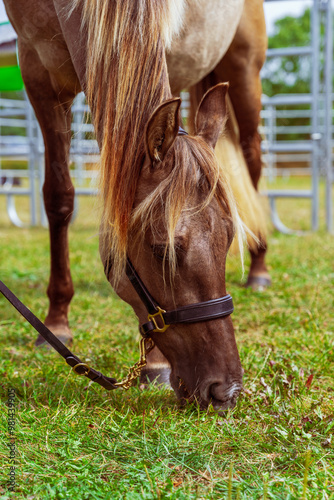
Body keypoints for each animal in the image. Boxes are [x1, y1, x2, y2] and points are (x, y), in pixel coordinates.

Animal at [2, 0, 268, 412]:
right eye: (162, 250)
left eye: (228, 239)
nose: (226, 391)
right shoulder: (38, 73)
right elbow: (58, 197)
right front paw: (56, 321)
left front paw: (154, 364)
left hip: (244, 71)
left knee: (252, 163)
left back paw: (259, 266)